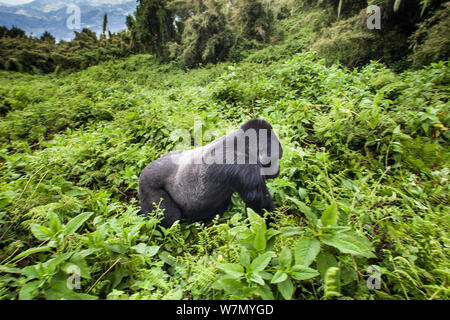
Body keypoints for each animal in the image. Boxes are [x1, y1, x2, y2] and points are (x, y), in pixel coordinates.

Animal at [139, 119, 284, 228]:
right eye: (276, 158)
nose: (278, 169)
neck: (241, 146)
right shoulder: (244, 166)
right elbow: (259, 203)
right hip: (147, 184)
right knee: (171, 219)